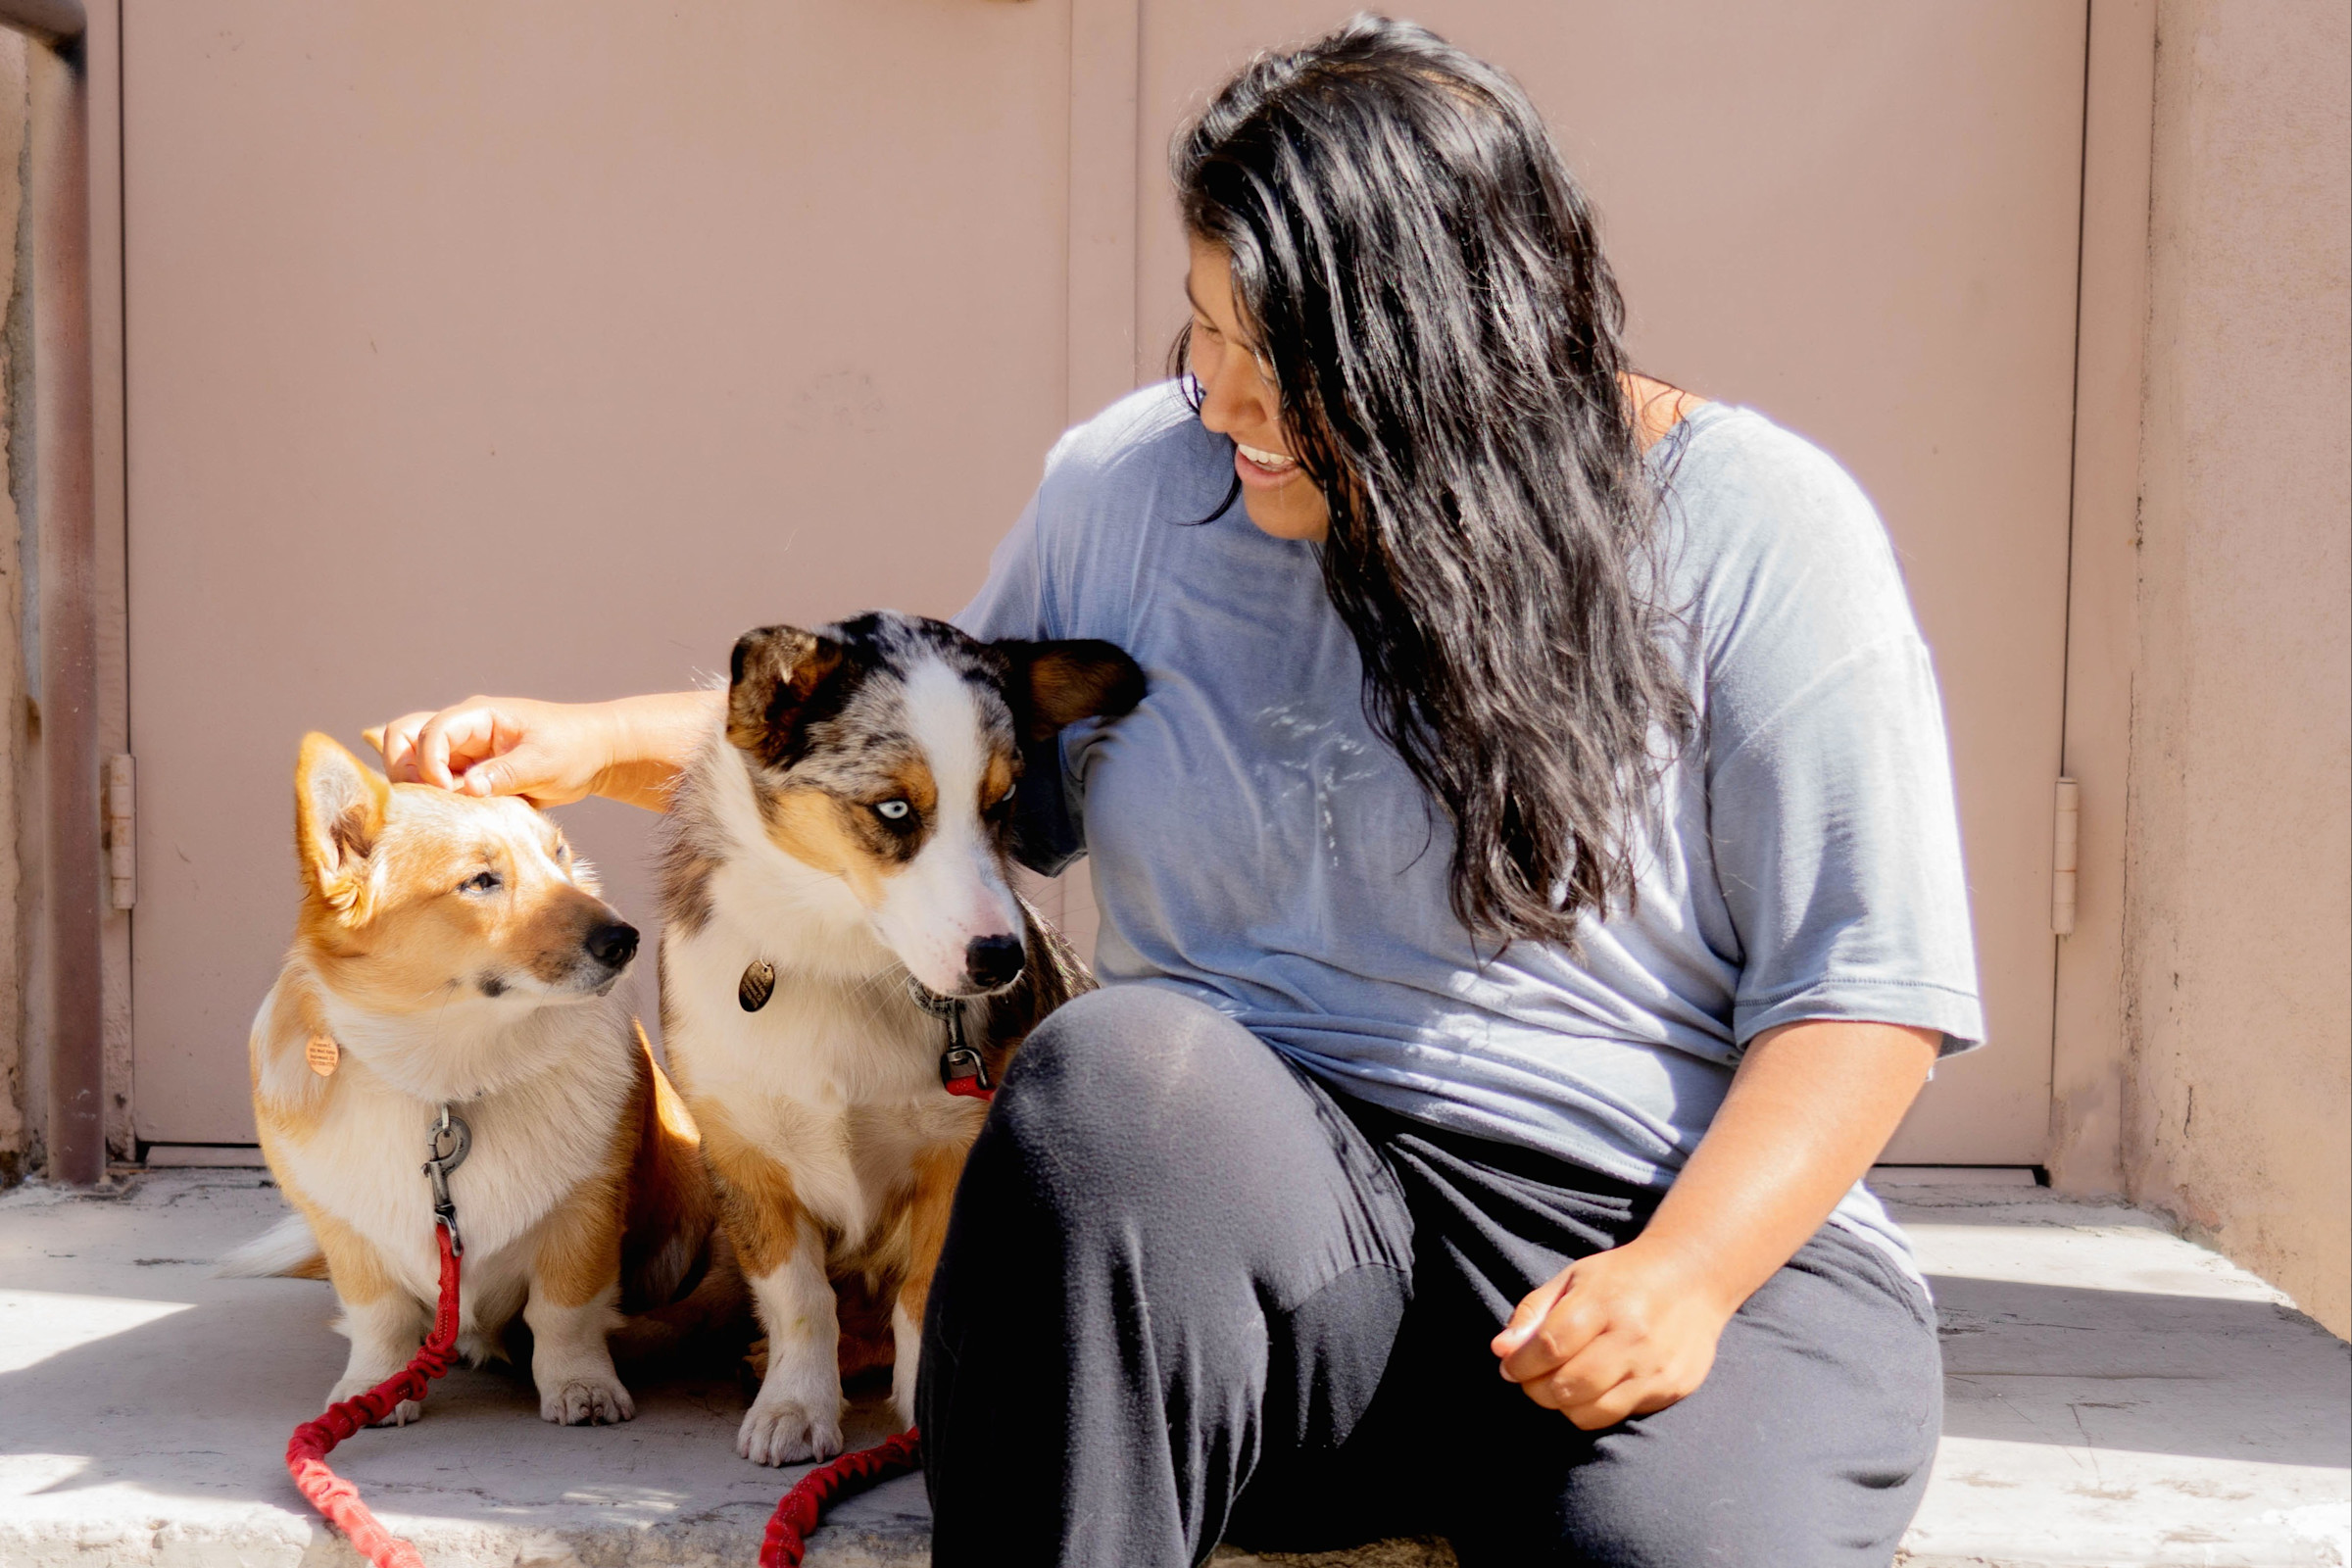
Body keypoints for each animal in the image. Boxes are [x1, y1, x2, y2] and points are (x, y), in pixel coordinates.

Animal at [230, 733, 729, 1419]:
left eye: (559, 856)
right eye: (481, 881)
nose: (624, 939)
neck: (454, 1072)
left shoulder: (586, 1214)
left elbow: (565, 1313)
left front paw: (581, 1387)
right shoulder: (348, 1233)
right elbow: (379, 1317)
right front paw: (372, 1389)